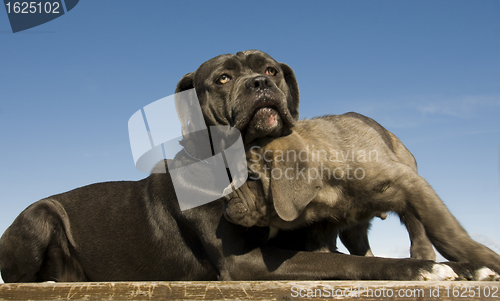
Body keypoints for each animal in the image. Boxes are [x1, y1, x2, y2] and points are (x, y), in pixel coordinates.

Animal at [226, 112, 500, 278]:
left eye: (250, 176)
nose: (226, 197)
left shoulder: (409, 183)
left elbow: (445, 232)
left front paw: (484, 259)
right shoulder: (322, 226)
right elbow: (322, 253)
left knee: (416, 226)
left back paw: (423, 254)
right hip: (354, 229)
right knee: (360, 244)